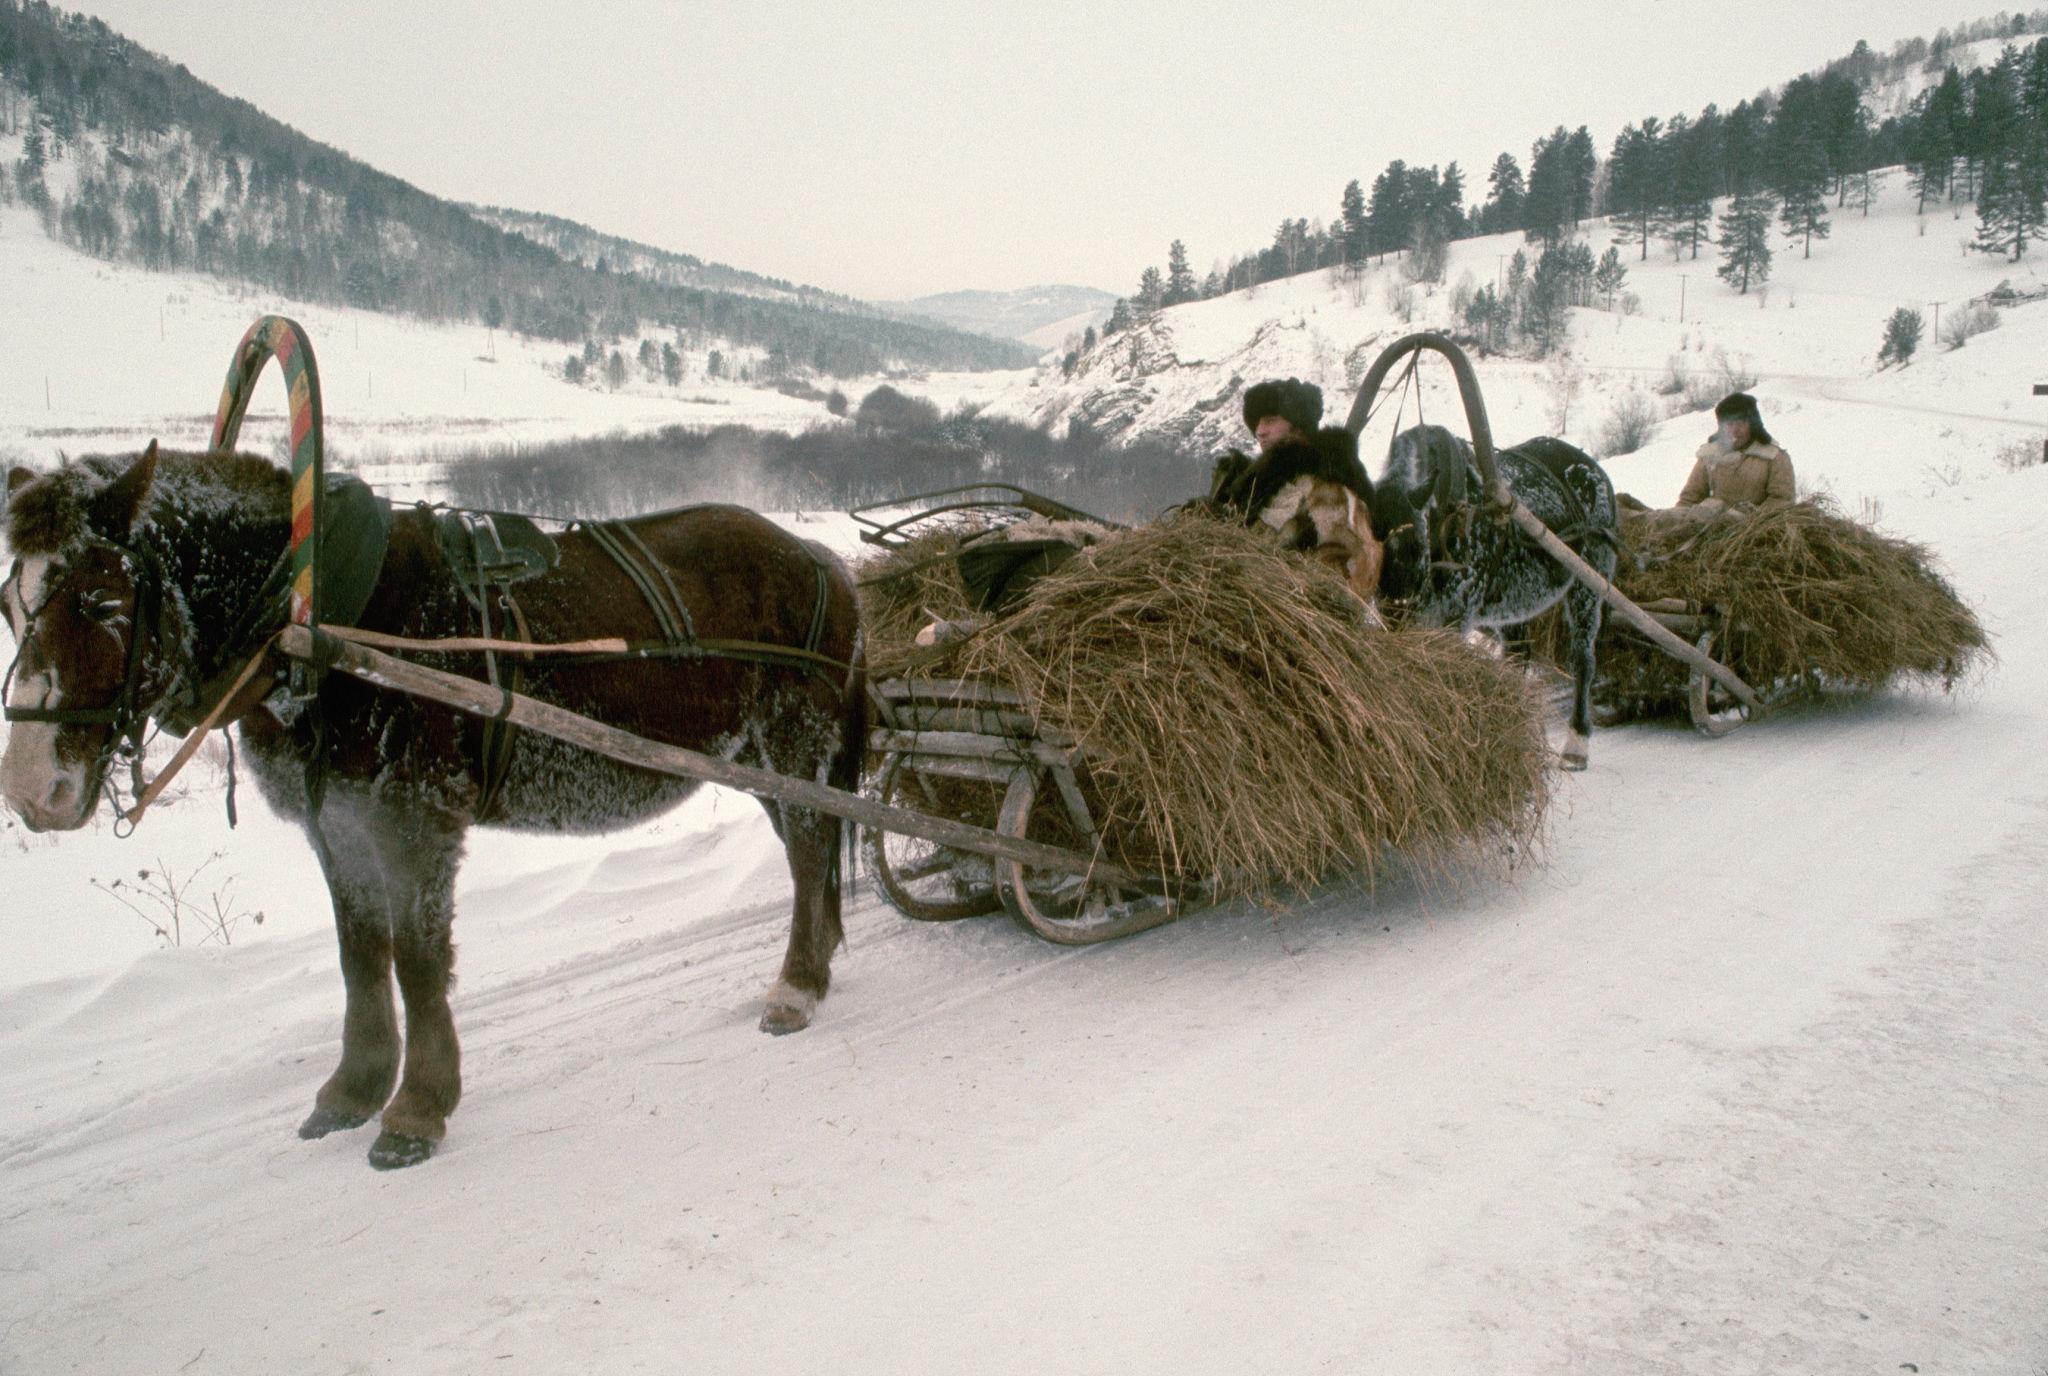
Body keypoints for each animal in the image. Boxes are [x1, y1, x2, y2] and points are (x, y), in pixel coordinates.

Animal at [2, 446, 864, 1163]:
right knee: (811, 848)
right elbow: (360, 956)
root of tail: (820, 558)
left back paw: (794, 986)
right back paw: (819, 961)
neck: (322, 621)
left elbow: (417, 961)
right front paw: (352, 1089)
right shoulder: (336, 823)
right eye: (12, 603)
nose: (32, 789)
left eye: (101, 599)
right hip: (756, 760)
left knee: (810, 850)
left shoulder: (413, 819)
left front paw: (417, 1107)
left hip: (792, 740)